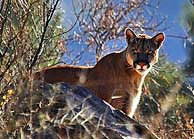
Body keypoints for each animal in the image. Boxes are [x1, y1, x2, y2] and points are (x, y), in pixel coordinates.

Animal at [33, 28, 164, 118]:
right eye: (135, 51)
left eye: (149, 52)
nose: (142, 64)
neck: (135, 77)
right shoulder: (114, 103)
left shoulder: (127, 108)